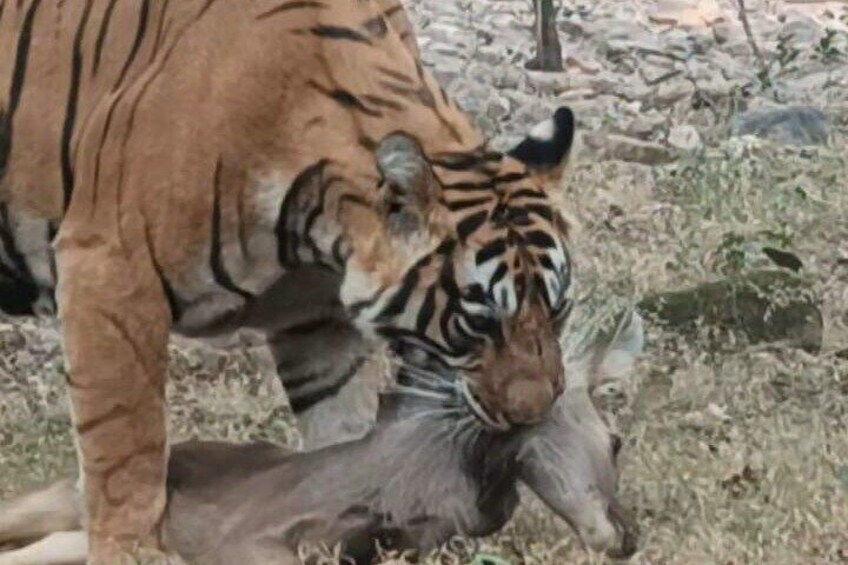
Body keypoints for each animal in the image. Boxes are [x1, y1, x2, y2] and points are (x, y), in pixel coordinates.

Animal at [0, 2, 576, 560]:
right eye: (480, 321)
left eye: (558, 310)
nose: (535, 415)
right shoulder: (110, 269)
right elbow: (125, 447)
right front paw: (130, 550)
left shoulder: (319, 326)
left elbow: (342, 435)